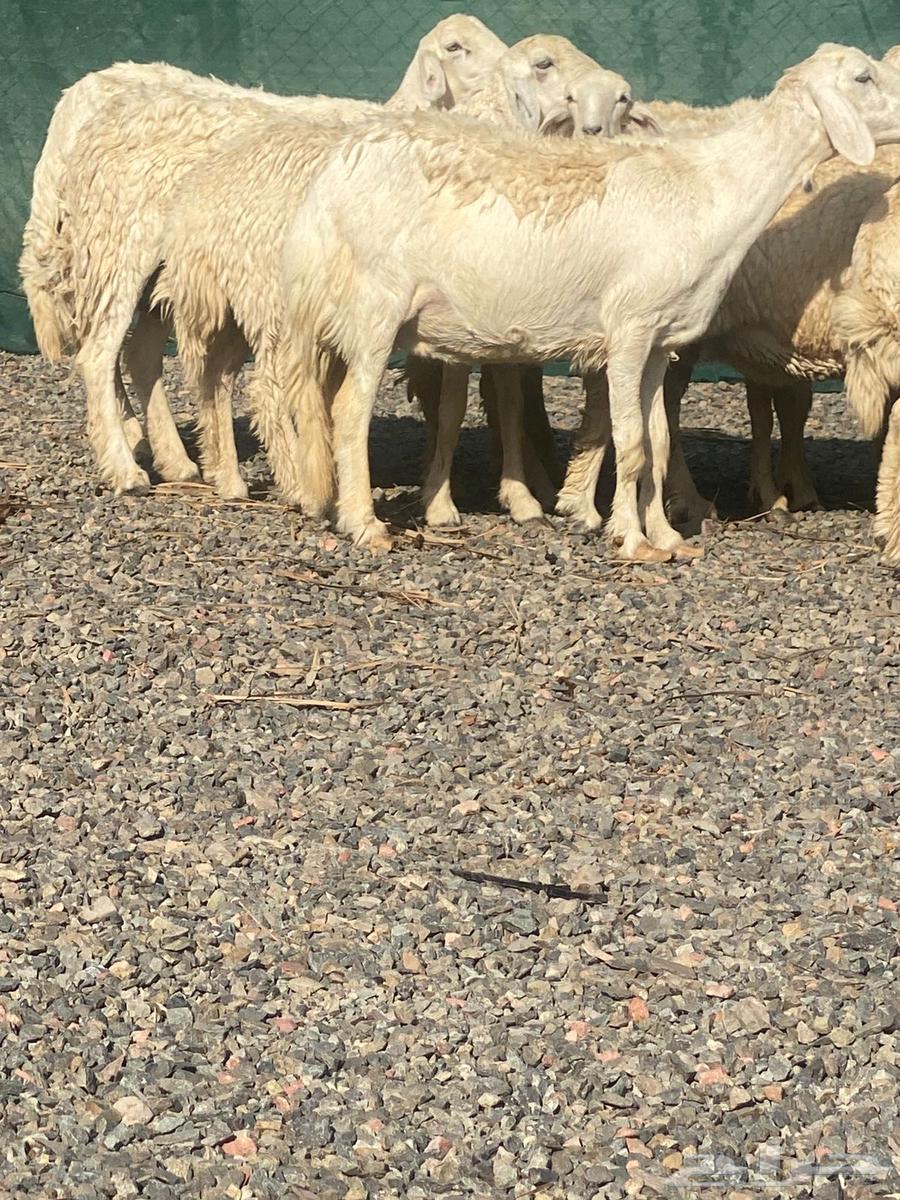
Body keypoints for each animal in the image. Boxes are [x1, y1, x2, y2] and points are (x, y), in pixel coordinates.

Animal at [18, 15, 507, 495]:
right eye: (455, 48)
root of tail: (82, 106)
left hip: (162, 271)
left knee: (138, 353)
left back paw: (172, 459)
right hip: (119, 247)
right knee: (98, 353)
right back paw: (126, 468)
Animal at [149, 35, 609, 502]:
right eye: (544, 65)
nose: (603, 103)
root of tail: (200, 195)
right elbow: (478, 401)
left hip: (235, 302)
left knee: (214, 378)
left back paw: (225, 476)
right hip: (274, 301)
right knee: (267, 388)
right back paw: (295, 483)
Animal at [278, 45, 900, 561]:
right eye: (863, 76)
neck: (711, 191)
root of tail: (329, 180)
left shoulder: (660, 342)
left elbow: (657, 441)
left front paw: (668, 537)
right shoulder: (628, 329)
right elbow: (630, 442)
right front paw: (631, 539)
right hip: (373, 306)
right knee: (350, 412)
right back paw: (364, 525)